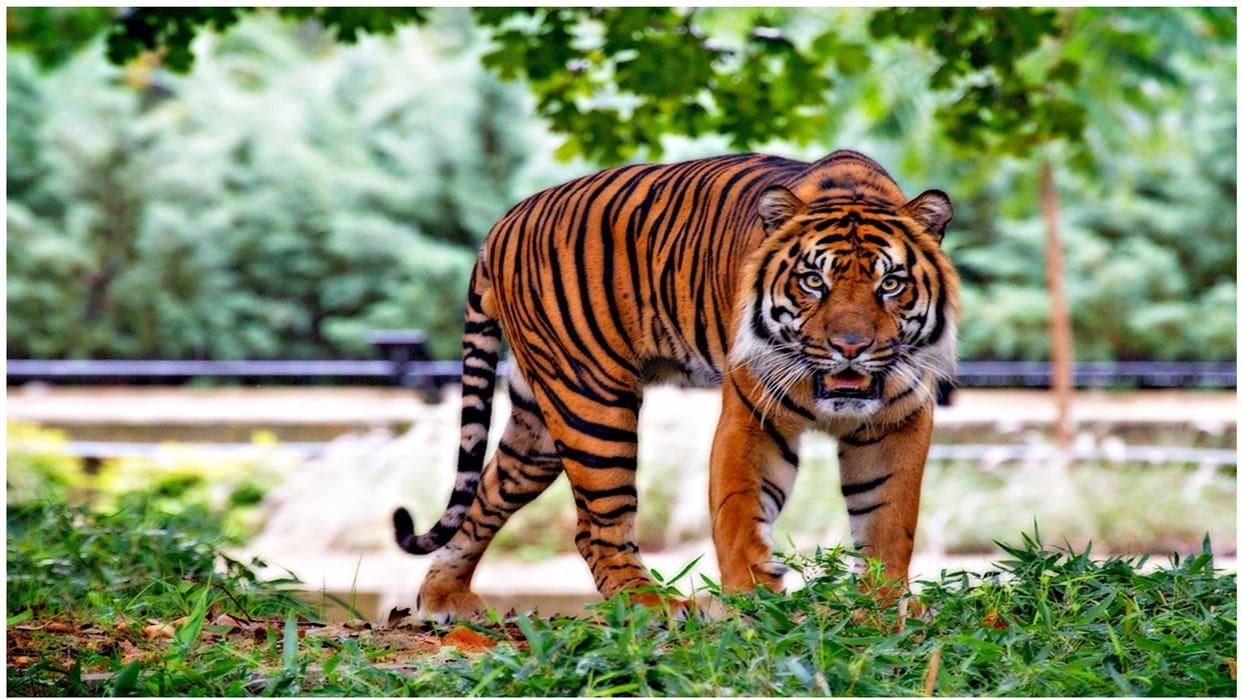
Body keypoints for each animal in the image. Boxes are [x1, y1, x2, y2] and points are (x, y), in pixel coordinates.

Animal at [394, 149, 959, 622]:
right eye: (813, 281)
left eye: (890, 284)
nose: (850, 346)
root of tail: (503, 222)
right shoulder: (752, 416)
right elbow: (740, 512)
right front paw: (754, 603)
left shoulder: (898, 421)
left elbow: (888, 521)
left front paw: (881, 608)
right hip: (592, 403)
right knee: (596, 528)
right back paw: (654, 606)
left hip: (539, 424)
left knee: (488, 494)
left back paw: (444, 598)